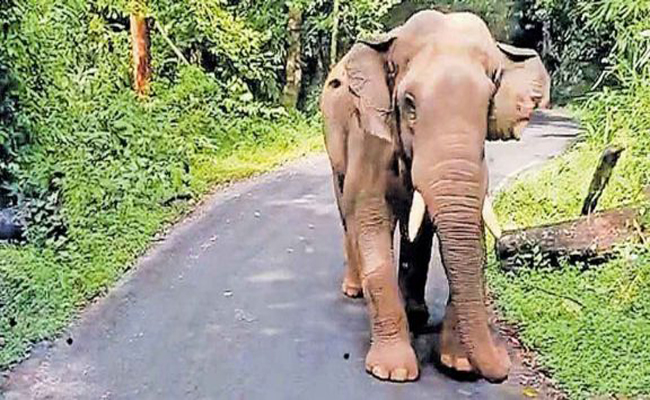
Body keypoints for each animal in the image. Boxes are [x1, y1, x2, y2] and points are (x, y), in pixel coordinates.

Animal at [320, 10, 550, 383]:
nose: (504, 362)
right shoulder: (370, 137)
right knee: (346, 211)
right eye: (409, 104)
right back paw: (354, 290)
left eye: (487, 103)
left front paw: (458, 365)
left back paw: (417, 314)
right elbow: (369, 219)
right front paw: (392, 372)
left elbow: (469, 229)